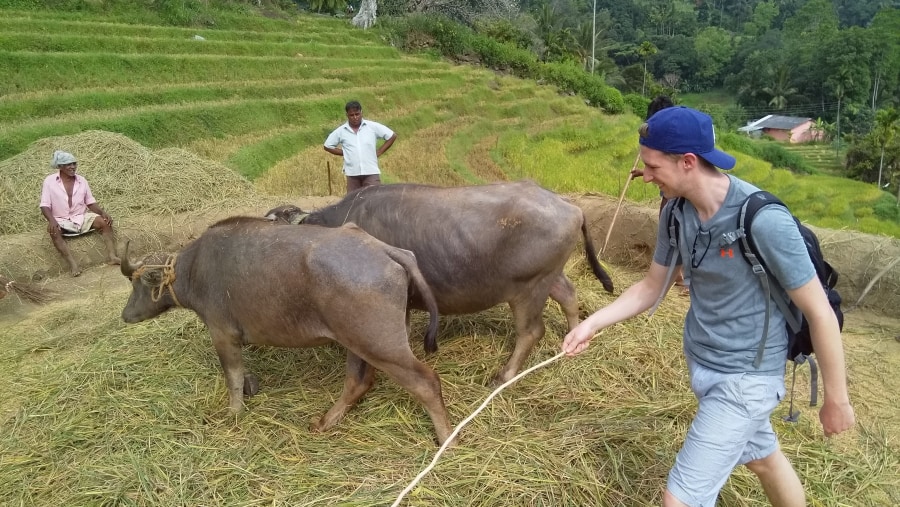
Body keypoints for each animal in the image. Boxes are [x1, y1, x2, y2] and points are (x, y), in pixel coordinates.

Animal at [119, 217, 454, 444]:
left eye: (138, 284)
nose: (125, 315)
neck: (193, 268)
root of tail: (386, 250)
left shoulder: (221, 333)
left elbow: (232, 377)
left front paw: (234, 412)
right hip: (356, 342)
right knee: (358, 382)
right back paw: (325, 422)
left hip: (380, 345)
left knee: (426, 382)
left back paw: (446, 439)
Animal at [264, 181, 616, 382]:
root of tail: (570, 206)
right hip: (548, 276)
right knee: (569, 295)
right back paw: (572, 341)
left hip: (528, 287)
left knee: (531, 331)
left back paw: (504, 375)